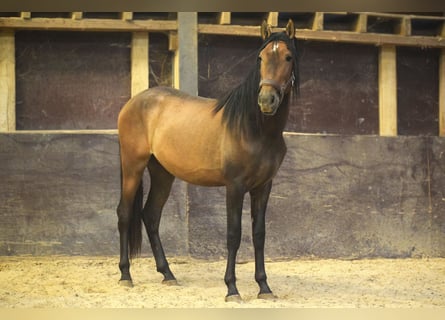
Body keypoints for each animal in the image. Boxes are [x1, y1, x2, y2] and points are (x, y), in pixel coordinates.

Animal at [116, 20, 300, 302]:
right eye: (260, 58)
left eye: (288, 57)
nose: (266, 101)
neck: (253, 128)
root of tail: (134, 102)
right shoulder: (234, 187)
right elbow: (233, 234)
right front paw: (232, 288)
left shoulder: (263, 187)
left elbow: (259, 234)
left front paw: (264, 287)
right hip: (132, 166)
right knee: (125, 213)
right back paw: (126, 275)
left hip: (162, 173)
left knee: (151, 215)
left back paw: (168, 274)